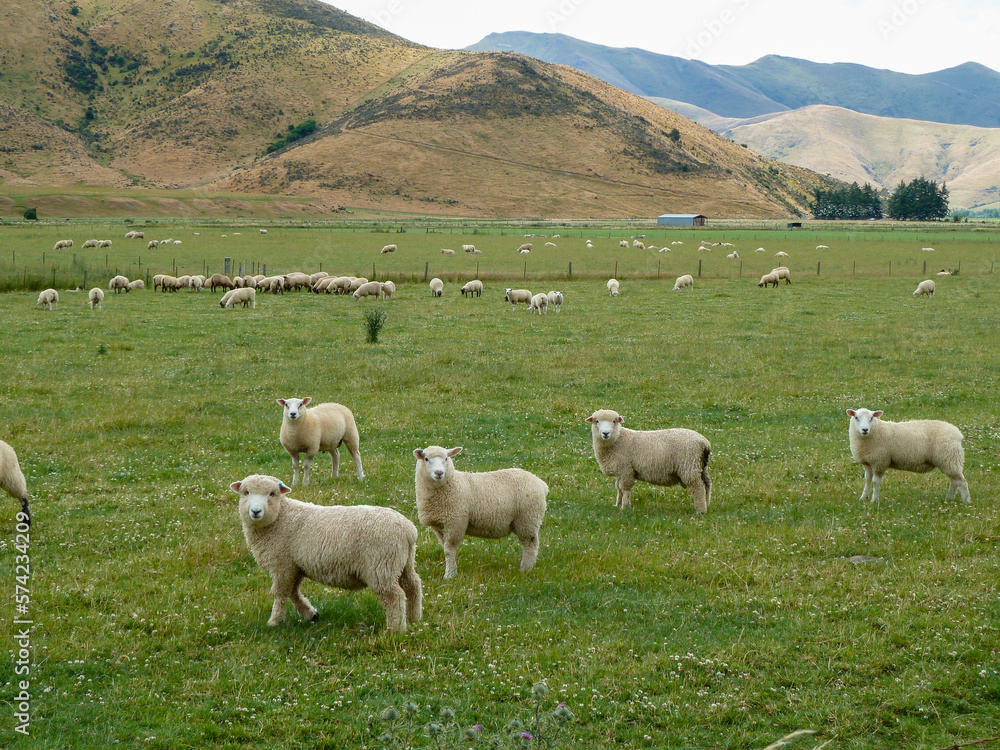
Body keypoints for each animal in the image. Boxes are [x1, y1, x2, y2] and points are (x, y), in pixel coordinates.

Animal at [232, 472, 420, 632]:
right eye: (246, 492)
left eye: (272, 493)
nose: (256, 511)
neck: (281, 518)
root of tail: (408, 530)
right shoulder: (295, 566)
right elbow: (293, 592)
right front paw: (311, 614)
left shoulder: (282, 565)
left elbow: (281, 593)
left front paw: (275, 621)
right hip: (403, 562)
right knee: (413, 586)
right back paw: (413, 619)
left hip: (381, 566)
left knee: (395, 596)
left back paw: (395, 629)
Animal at [410, 446, 548, 580]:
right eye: (426, 459)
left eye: (446, 458)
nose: (439, 473)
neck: (452, 483)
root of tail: (541, 483)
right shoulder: (439, 526)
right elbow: (445, 549)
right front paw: (452, 571)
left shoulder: (455, 522)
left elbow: (449, 550)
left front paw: (449, 575)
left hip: (528, 519)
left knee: (530, 545)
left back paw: (525, 569)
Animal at [584, 412, 716, 516]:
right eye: (597, 421)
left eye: (614, 421)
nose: (605, 433)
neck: (618, 440)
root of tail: (704, 442)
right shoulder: (620, 471)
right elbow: (619, 488)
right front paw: (618, 504)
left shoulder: (626, 470)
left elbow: (625, 488)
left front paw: (625, 507)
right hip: (700, 466)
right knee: (707, 484)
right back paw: (707, 504)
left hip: (689, 466)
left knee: (698, 487)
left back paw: (700, 510)